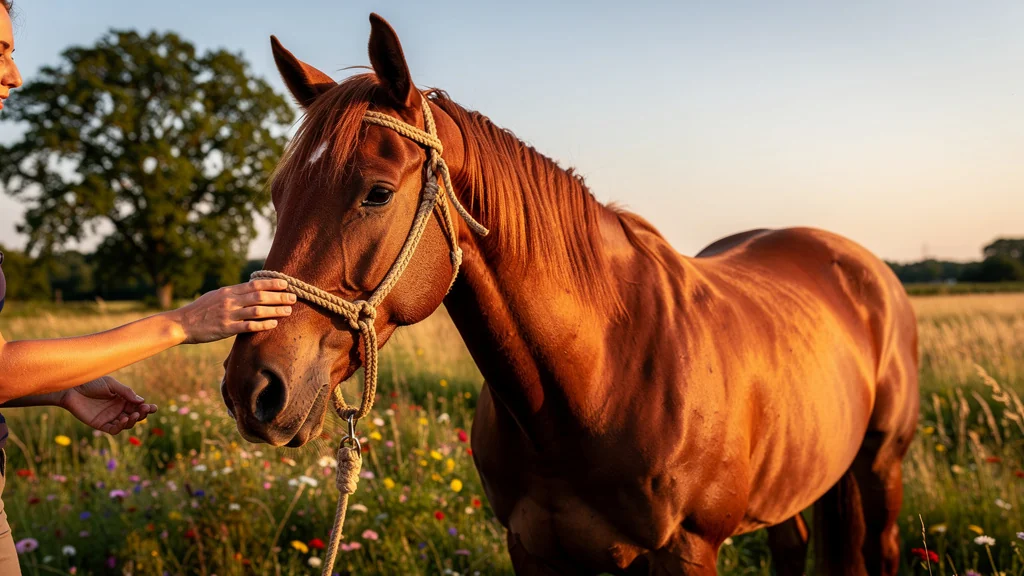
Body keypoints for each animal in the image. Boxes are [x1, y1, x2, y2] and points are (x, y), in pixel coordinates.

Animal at [221, 14, 919, 575]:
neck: (597, 380)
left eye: (378, 192)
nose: (252, 387)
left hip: (881, 466)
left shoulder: (686, 550)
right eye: (278, 193)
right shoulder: (532, 549)